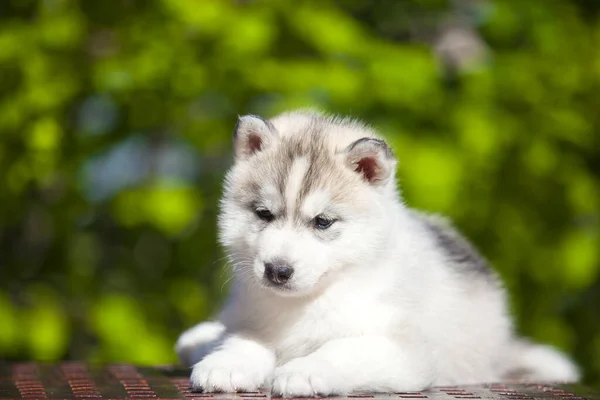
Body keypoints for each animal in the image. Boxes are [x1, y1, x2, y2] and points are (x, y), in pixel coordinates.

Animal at [176, 109, 580, 396]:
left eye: (323, 222)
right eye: (263, 214)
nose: (277, 270)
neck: (314, 299)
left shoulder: (405, 350)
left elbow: (343, 349)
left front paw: (305, 370)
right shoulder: (251, 319)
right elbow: (244, 339)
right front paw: (227, 363)